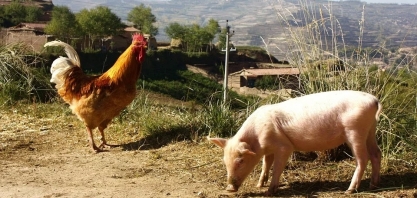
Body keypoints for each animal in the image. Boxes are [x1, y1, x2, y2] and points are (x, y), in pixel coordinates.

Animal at [208, 90, 380, 196]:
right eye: (225, 161)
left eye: (241, 160)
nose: (229, 188)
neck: (258, 138)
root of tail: (374, 100)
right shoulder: (269, 149)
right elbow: (266, 163)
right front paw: (259, 185)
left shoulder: (284, 147)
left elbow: (277, 167)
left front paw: (269, 192)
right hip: (370, 129)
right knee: (376, 153)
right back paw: (373, 185)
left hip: (355, 131)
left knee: (363, 159)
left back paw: (349, 190)